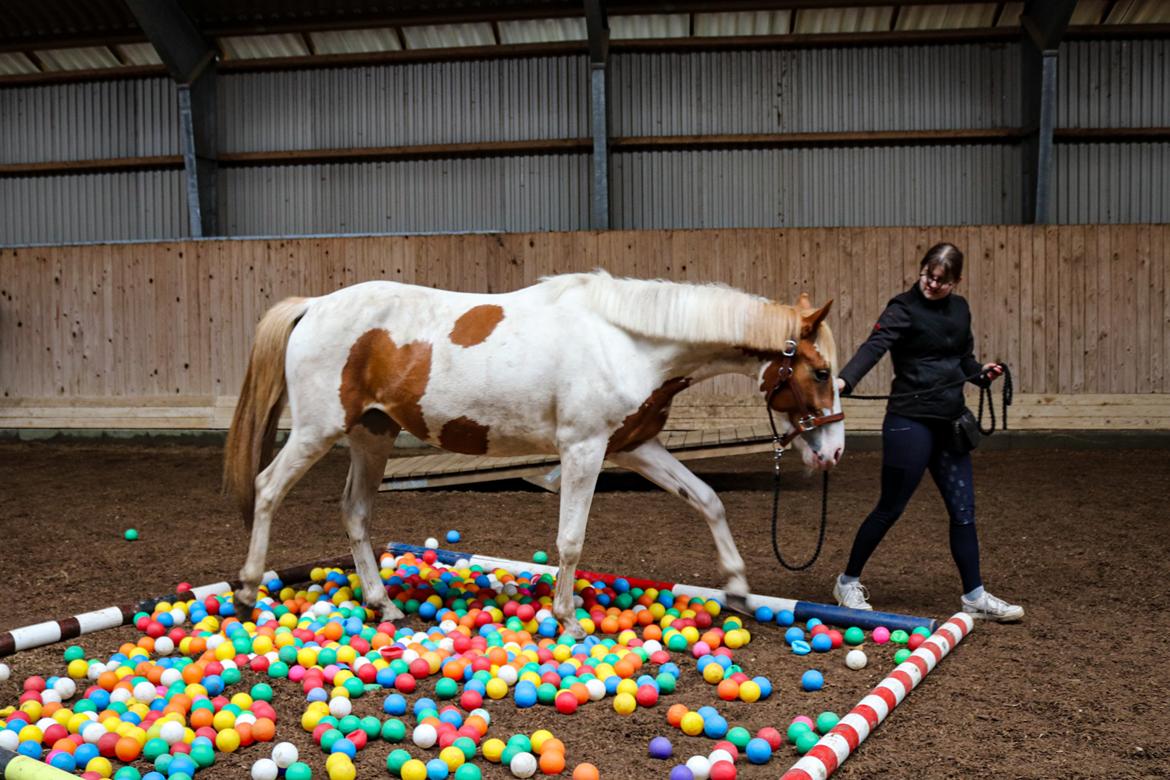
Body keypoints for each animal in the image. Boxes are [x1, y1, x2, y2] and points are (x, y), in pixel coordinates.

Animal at [225, 271, 842, 636]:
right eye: (820, 371)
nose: (832, 450)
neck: (628, 341)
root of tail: (315, 306)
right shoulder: (583, 449)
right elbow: (570, 540)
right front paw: (567, 620)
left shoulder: (634, 446)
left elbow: (708, 499)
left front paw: (737, 588)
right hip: (316, 430)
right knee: (268, 489)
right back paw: (250, 589)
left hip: (371, 437)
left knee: (355, 513)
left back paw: (384, 604)